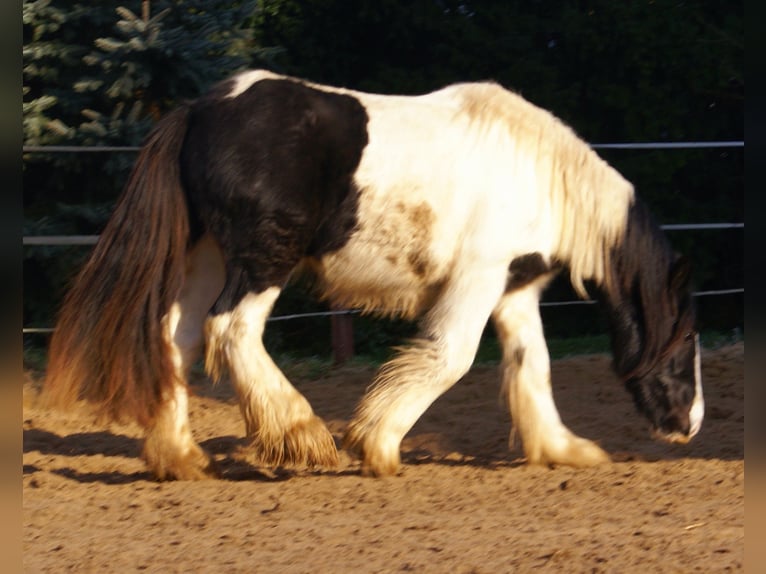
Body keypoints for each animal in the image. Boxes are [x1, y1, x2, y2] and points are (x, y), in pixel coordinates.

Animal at [40, 68, 704, 482]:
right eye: (687, 340)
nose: (691, 425)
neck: (540, 174)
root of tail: (202, 109)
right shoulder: (479, 278)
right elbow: (450, 359)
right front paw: (377, 444)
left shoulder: (513, 289)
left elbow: (530, 368)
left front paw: (564, 449)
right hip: (263, 258)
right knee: (231, 330)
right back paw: (301, 433)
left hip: (208, 255)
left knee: (175, 337)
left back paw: (180, 456)